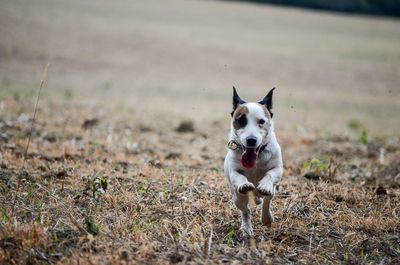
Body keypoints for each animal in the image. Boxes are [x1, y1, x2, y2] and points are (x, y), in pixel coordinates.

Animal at [223, 86, 282, 235]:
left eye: (261, 121)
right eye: (241, 120)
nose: (251, 140)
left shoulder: (277, 169)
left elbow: (270, 175)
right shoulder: (233, 171)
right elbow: (238, 176)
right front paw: (244, 184)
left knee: (265, 200)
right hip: (237, 198)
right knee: (246, 211)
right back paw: (246, 227)